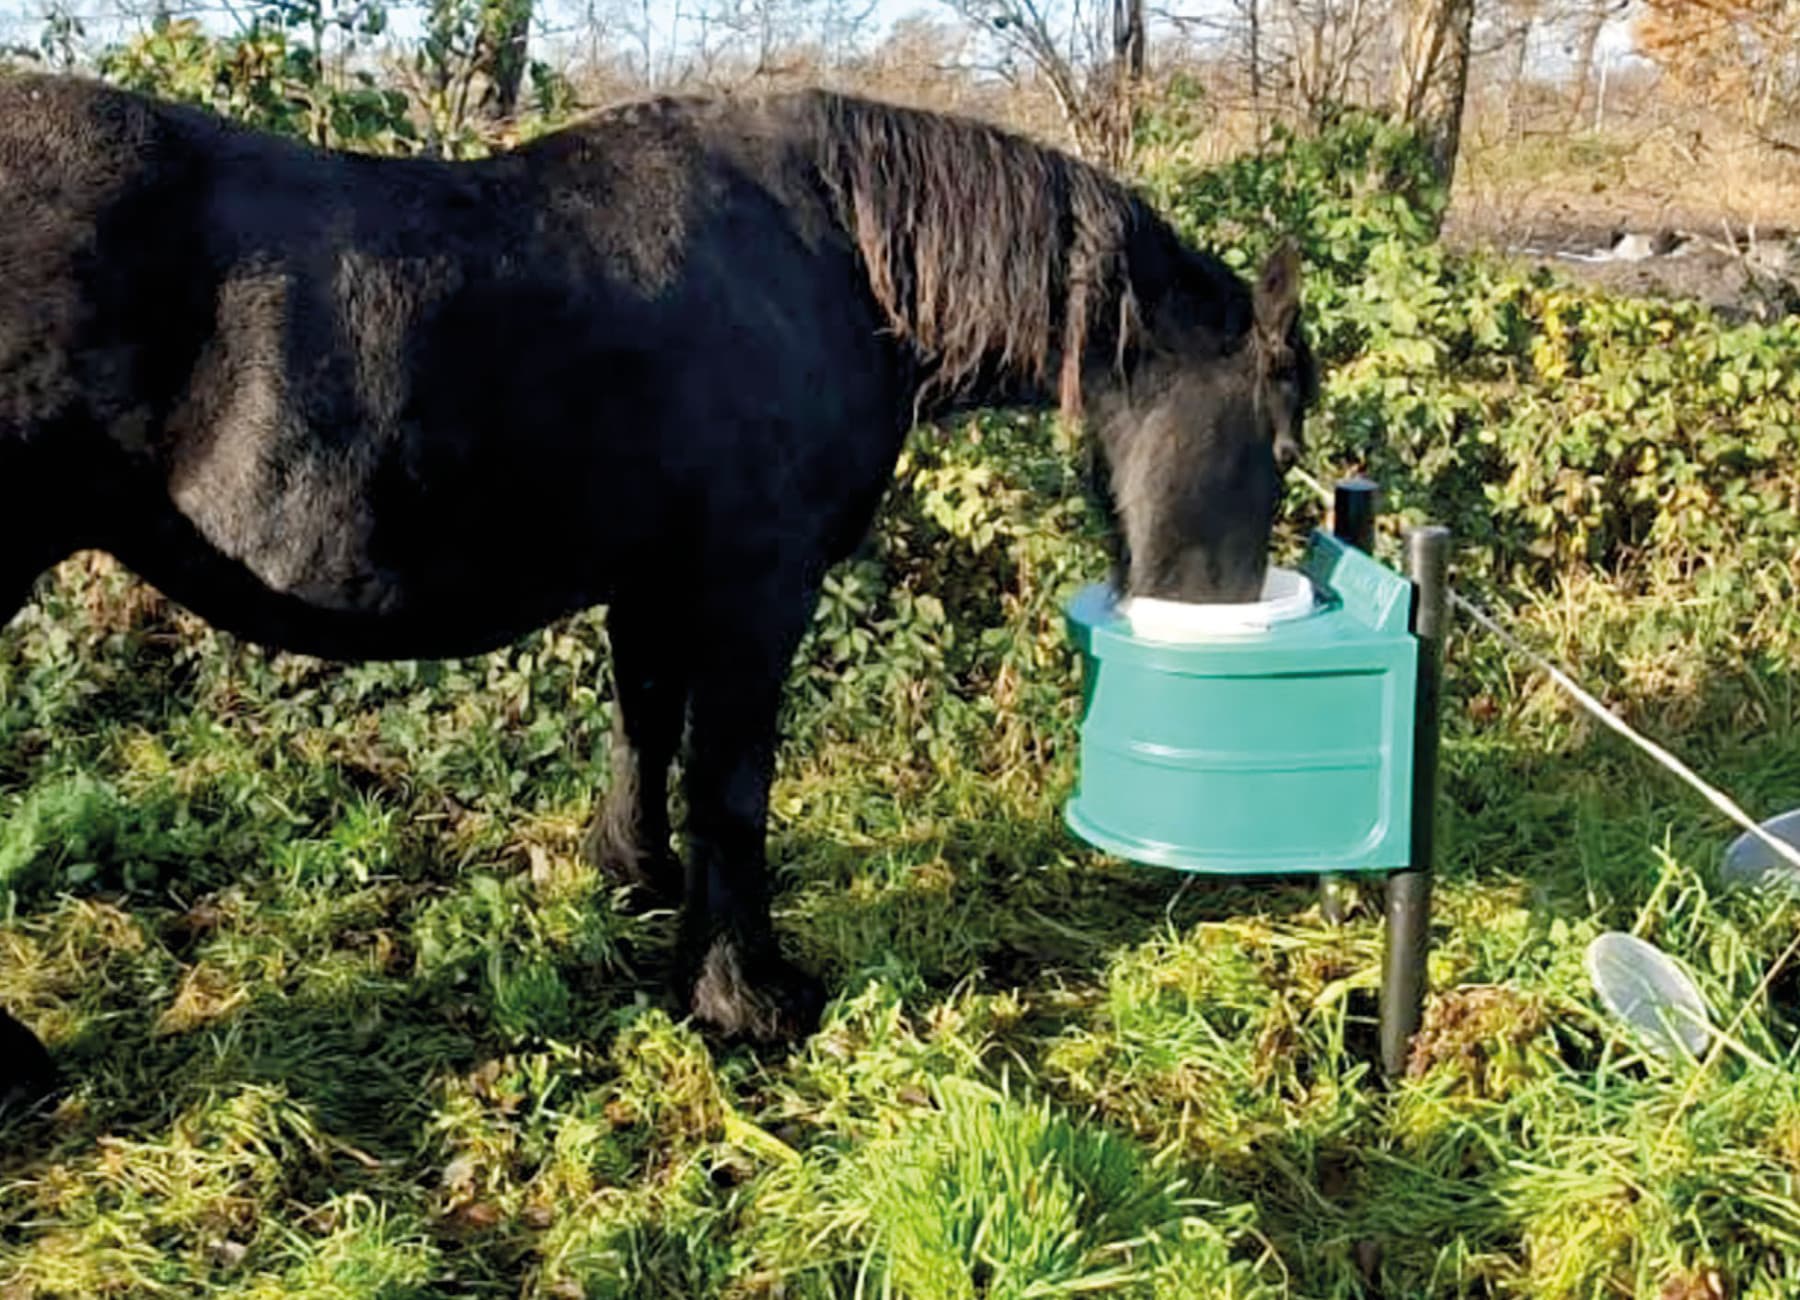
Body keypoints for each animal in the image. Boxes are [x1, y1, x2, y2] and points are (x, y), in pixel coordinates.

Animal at [0, 73, 1324, 1101]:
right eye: (1283, 437)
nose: (1219, 613)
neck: (839, 259)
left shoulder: (651, 582)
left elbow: (643, 730)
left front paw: (634, 884)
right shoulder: (755, 591)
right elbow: (729, 786)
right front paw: (746, 995)